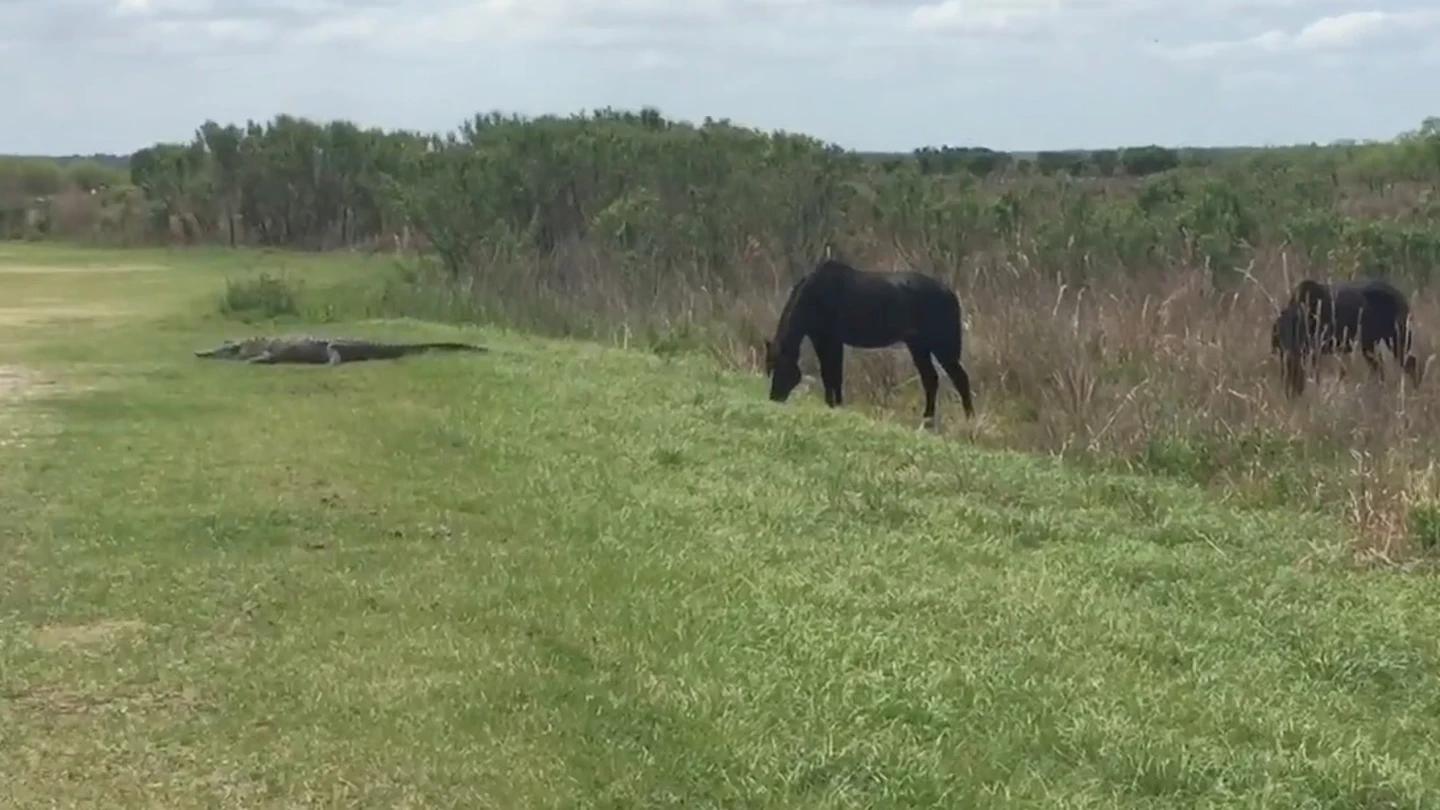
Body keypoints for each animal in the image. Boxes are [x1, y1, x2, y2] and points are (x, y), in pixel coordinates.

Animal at [763, 259, 976, 428]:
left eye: (782, 368)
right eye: (770, 368)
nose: (774, 398)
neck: (813, 295)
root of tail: (950, 294)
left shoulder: (832, 341)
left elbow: (834, 374)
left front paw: (836, 406)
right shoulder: (821, 340)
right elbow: (828, 374)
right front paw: (832, 405)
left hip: (942, 347)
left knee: (960, 379)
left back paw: (969, 420)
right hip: (918, 346)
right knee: (931, 379)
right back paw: (927, 420)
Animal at [1270, 277, 1422, 397]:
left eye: (1293, 329)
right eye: (1280, 334)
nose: (1288, 349)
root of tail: (1402, 298)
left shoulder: (1311, 352)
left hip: (1398, 340)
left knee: (1410, 363)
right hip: (1370, 345)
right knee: (1380, 368)